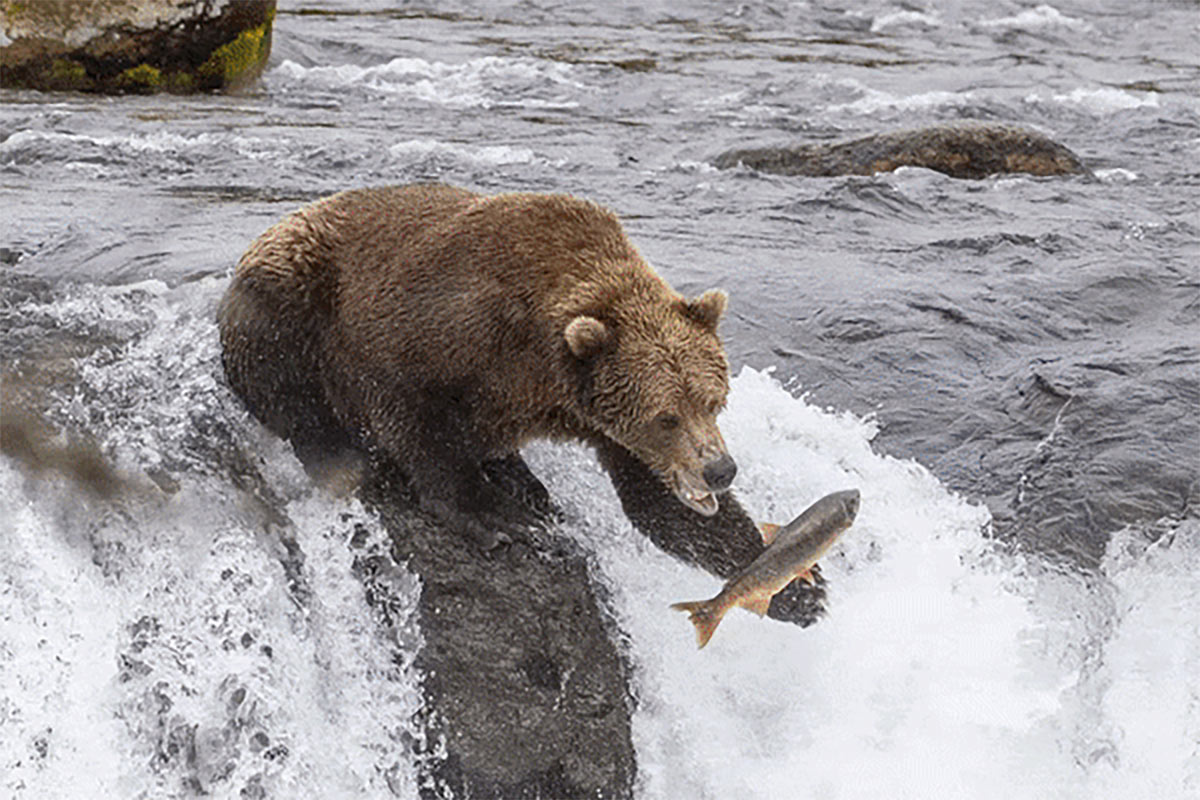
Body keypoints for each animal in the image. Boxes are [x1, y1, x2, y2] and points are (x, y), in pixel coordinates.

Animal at [217, 184, 740, 548]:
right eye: (666, 417)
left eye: (714, 403)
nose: (721, 470)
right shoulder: (442, 326)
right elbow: (412, 414)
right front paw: (495, 515)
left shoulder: (593, 406)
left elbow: (656, 502)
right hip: (289, 293)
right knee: (286, 386)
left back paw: (521, 477)